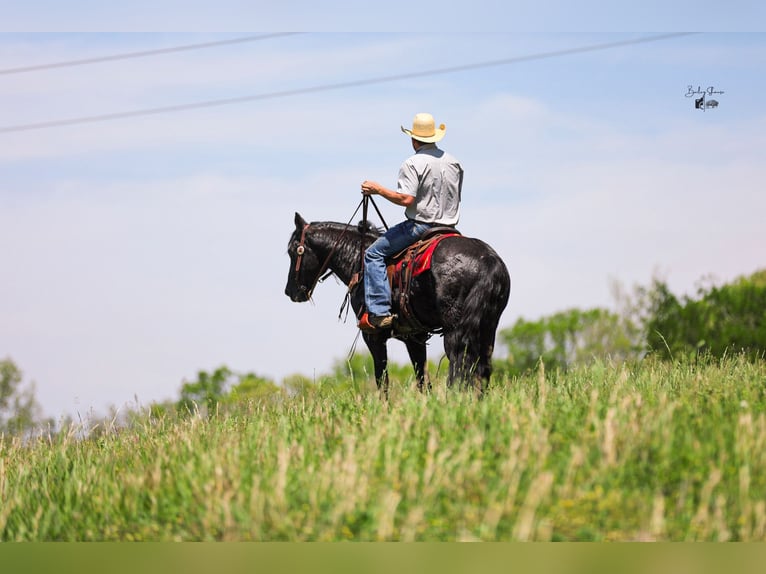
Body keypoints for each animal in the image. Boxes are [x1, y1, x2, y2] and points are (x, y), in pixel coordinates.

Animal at [284, 212, 511, 397]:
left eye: (293, 251)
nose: (290, 292)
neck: (358, 258)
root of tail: (489, 260)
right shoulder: (414, 338)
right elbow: (423, 382)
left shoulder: (373, 336)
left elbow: (382, 380)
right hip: (487, 328)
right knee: (482, 370)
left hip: (455, 331)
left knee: (460, 368)